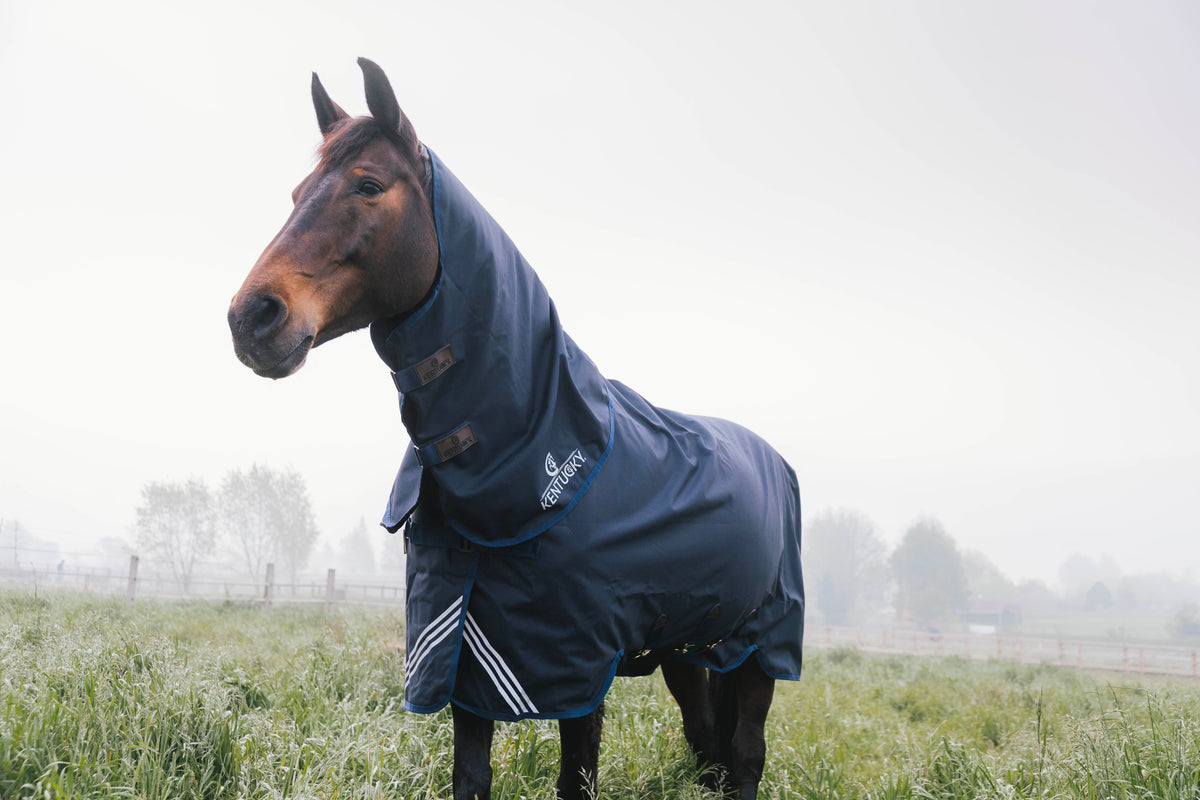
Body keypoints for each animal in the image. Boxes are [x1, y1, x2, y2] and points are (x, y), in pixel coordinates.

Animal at [228, 58, 804, 800]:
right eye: (297, 192)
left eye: (368, 184)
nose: (251, 318)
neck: (540, 448)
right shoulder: (465, 660)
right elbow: (471, 776)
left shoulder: (576, 671)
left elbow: (575, 778)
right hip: (692, 648)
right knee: (707, 740)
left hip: (763, 648)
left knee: (746, 752)